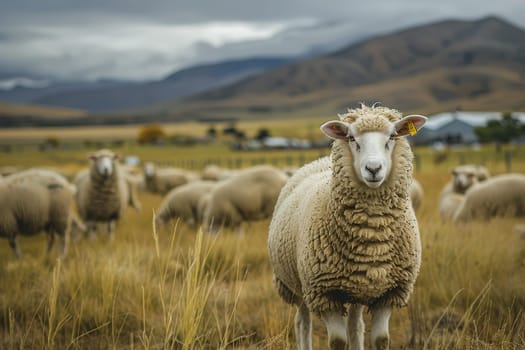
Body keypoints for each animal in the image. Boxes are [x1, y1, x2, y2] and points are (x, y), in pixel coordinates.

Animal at [266, 104, 426, 350]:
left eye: (392, 136)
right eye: (351, 138)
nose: (373, 168)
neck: (372, 234)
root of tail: (318, 161)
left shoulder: (390, 293)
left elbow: (381, 339)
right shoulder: (324, 294)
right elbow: (338, 341)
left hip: (358, 287)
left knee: (355, 325)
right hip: (296, 284)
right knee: (302, 322)